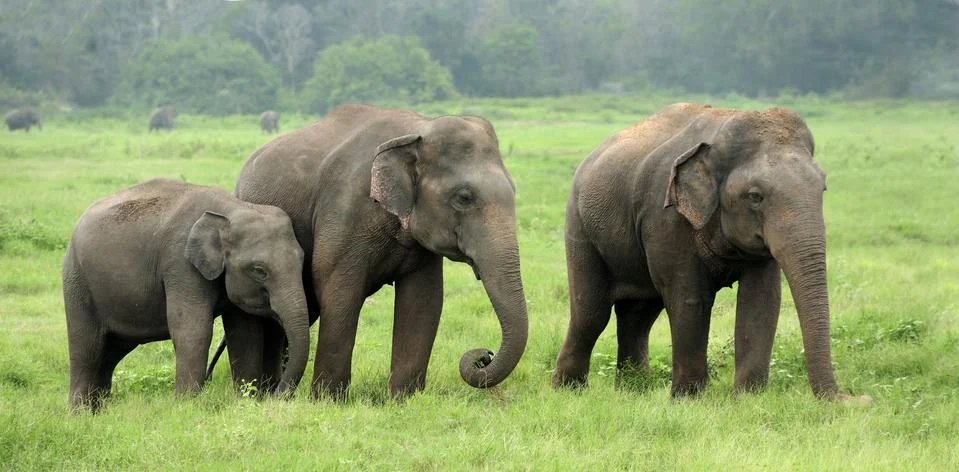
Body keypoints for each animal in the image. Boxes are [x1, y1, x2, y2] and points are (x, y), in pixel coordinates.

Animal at [63, 178, 310, 412]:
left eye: (302, 261)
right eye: (259, 270)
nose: (275, 397)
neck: (231, 210)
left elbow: (245, 333)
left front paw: (245, 402)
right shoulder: (180, 264)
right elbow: (193, 330)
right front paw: (186, 405)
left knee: (109, 354)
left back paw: (99, 411)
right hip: (77, 283)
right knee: (87, 348)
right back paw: (80, 415)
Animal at [216, 104, 528, 400]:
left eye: (515, 191)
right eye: (464, 198)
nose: (483, 356)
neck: (418, 128)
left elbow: (423, 301)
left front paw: (404, 400)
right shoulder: (344, 212)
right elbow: (339, 291)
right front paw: (328, 401)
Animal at [553, 103, 863, 401]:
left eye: (823, 188)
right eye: (755, 196)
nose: (858, 399)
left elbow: (762, 299)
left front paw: (748, 400)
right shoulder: (666, 217)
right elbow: (690, 298)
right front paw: (689, 401)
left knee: (639, 314)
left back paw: (633, 390)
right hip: (579, 226)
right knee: (591, 313)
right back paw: (568, 390)